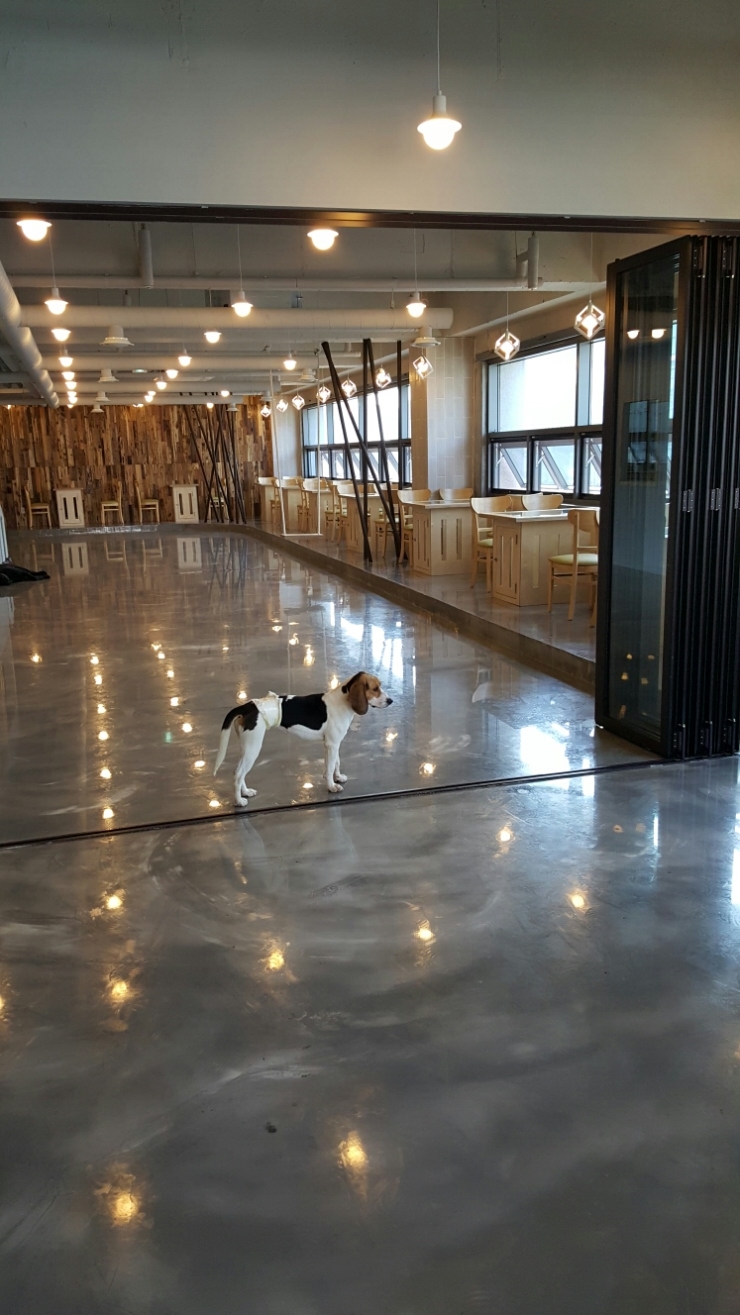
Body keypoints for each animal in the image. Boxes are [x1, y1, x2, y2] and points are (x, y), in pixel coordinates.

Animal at [214, 672, 393, 805]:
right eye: (375, 688)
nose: (391, 700)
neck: (342, 700)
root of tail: (248, 706)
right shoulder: (333, 744)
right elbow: (330, 767)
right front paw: (332, 787)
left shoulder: (331, 744)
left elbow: (334, 763)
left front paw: (338, 778)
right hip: (253, 747)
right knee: (238, 773)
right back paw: (239, 801)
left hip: (246, 747)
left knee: (239, 772)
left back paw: (246, 792)